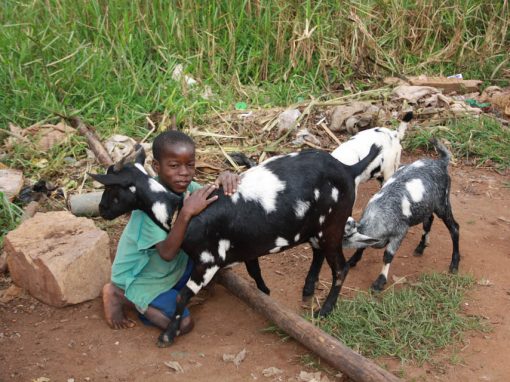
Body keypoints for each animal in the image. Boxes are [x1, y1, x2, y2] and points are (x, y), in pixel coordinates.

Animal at [89, 144, 380, 346]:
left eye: (111, 189)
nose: (102, 210)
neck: (179, 209)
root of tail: (348, 169)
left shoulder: (208, 260)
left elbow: (182, 296)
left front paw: (167, 336)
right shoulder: (248, 246)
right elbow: (255, 273)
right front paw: (266, 295)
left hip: (333, 223)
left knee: (340, 268)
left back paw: (325, 310)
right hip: (317, 227)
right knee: (318, 252)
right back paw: (308, 289)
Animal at [342, 139, 458, 290]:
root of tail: (441, 162)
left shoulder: (400, 232)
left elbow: (388, 255)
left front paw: (379, 282)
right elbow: (362, 246)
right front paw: (353, 261)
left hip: (442, 203)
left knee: (454, 228)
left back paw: (454, 264)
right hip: (427, 206)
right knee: (429, 220)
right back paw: (420, 247)